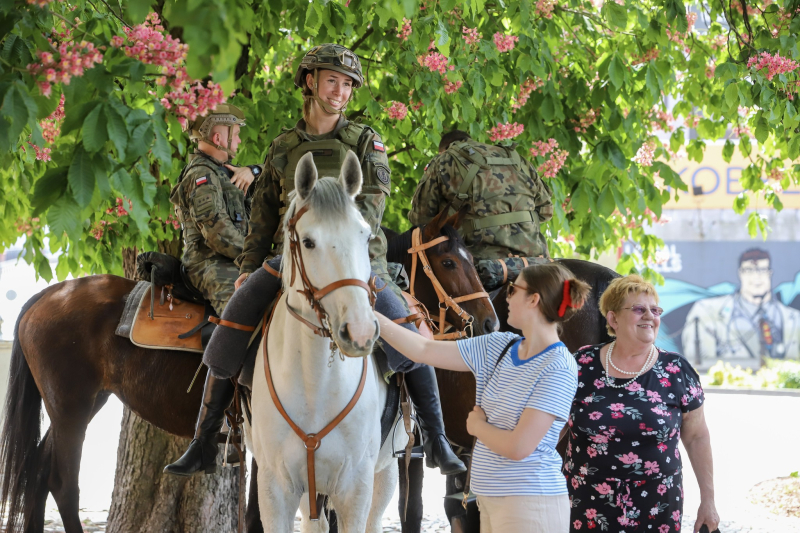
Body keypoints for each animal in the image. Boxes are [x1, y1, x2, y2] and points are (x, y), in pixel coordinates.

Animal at [1, 213, 500, 532]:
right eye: (449, 262)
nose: (490, 322)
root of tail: (48, 296)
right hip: (71, 410)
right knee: (60, 482)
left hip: (73, 409)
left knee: (37, 474)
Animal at [247, 151, 406, 532]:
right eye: (308, 242)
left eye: (365, 236)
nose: (360, 332)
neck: (314, 383)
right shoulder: (275, 489)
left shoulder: (356, 489)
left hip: (385, 473)